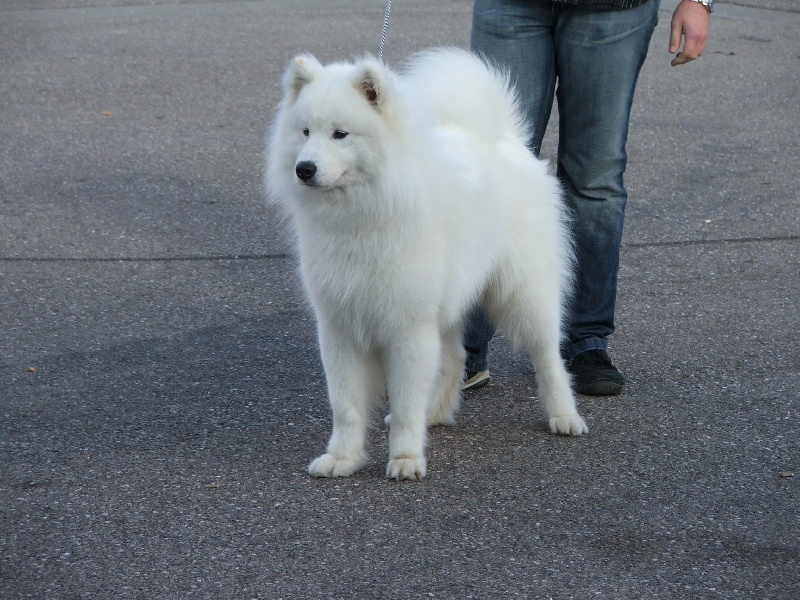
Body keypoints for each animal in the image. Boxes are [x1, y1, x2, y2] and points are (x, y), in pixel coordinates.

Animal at [268, 47, 588, 480]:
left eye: (340, 134)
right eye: (304, 132)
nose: (304, 169)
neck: (363, 216)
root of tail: (503, 138)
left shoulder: (409, 326)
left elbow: (404, 404)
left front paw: (405, 458)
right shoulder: (339, 326)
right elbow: (346, 405)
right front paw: (342, 458)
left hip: (524, 293)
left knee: (548, 355)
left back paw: (564, 415)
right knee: (455, 359)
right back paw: (435, 414)